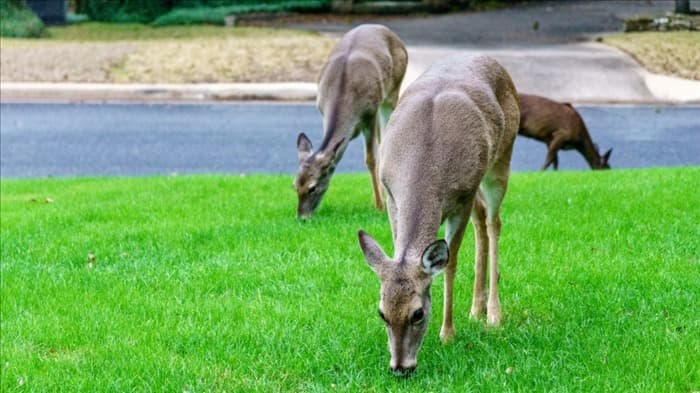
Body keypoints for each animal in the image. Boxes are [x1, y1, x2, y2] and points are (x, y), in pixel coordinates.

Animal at [294, 24, 404, 219]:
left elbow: (370, 159)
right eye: (295, 186)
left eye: (313, 187)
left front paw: (379, 206)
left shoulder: (369, 114)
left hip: (392, 92)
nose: (301, 218)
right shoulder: (322, 111)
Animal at [358, 53, 516, 376]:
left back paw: (493, 315)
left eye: (418, 313)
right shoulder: (391, 195)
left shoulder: (462, 196)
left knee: (494, 222)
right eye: (382, 313)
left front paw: (447, 334)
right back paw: (476, 308)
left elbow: (450, 263)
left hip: (500, 160)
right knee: (482, 220)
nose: (400, 368)